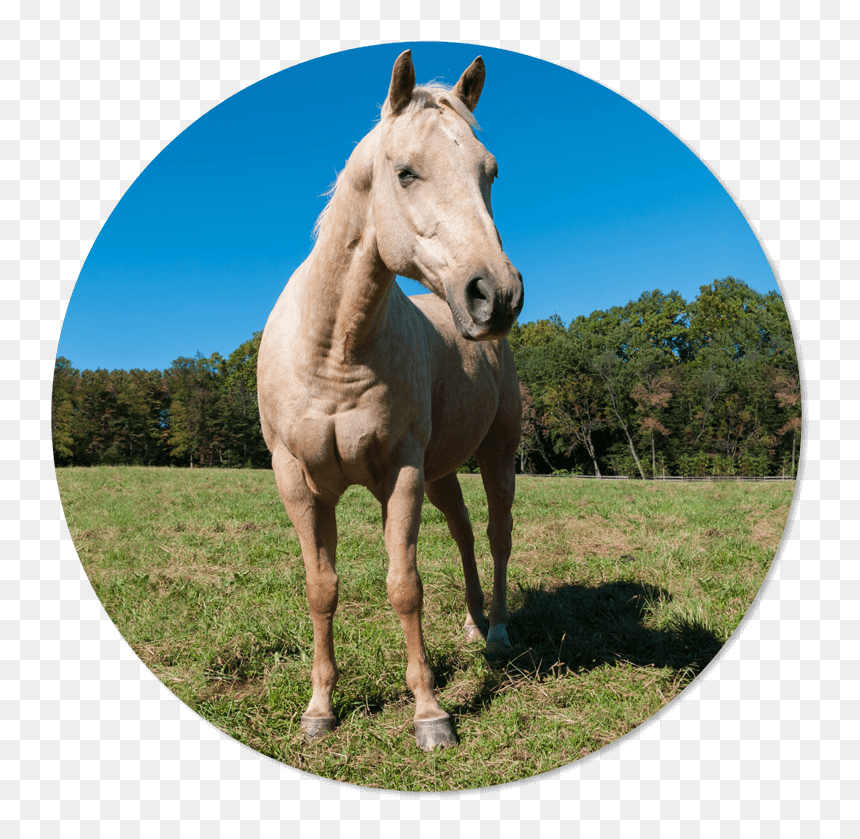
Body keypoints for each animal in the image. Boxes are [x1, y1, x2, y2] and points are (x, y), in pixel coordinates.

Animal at [257, 50, 524, 751]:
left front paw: (430, 714)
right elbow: (321, 589)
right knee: (463, 533)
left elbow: (404, 586)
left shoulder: (401, 471)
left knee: (497, 534)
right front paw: (320, 709)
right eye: (406, 172)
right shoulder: (297, 480)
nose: (497, 296)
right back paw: (472, 624)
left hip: (496, 455)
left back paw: (498, 630)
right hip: (443, 472)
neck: (335, 348)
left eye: (489, 172)